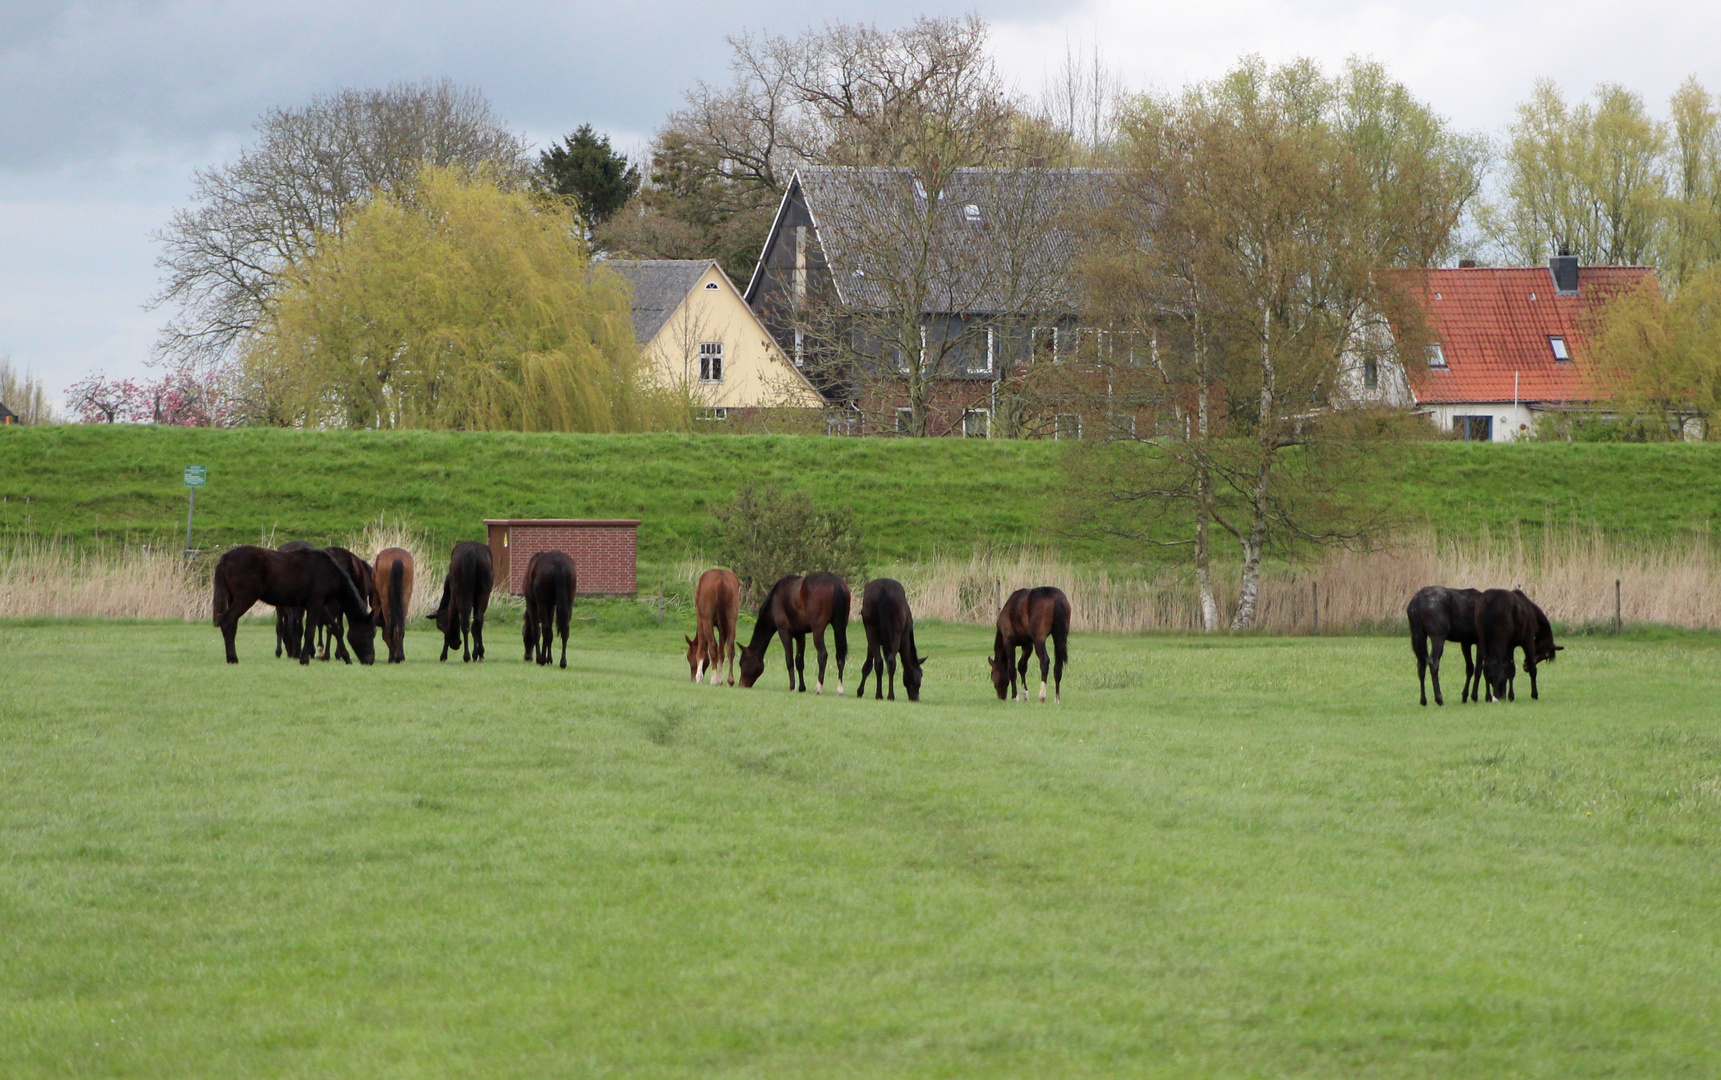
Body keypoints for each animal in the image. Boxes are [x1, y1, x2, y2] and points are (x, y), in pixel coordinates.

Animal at [213, 546, 375, 667]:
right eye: (370, 634)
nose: (370, 660)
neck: (328, 570)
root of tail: (225, 557)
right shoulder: (315, 604)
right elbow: (310, 632)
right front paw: (304, 659)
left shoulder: (319, 605)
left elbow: (335, 628)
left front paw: (346, 657)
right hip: (244, 599)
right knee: (227, 621)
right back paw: (233, 658)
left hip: (235, 599)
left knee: (231, 624)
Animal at [857, 577, 929, 705]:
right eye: (920, 675)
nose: (916, 698)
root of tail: (883, 590)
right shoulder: (904, 640)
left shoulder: (872, 641)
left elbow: (868, 664)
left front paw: (860, 691)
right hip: (896, 631)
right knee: (891, 661)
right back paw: (890, 695)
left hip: (870, 628)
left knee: (879, 661)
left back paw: (879, 694)